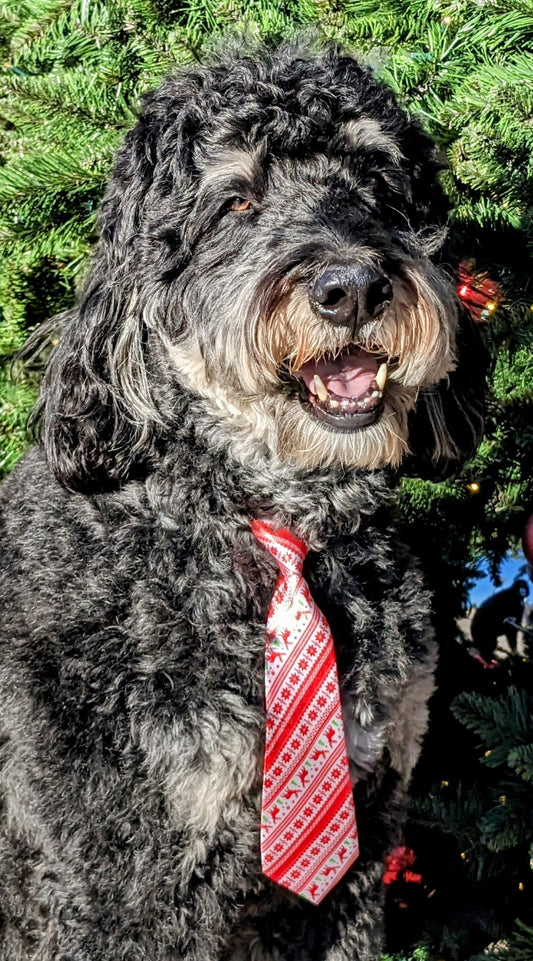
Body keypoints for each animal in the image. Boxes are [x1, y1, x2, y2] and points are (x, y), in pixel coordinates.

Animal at [0, 39, 482, 960]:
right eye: (236, 200)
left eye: (376, 181)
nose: (351, 286)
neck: (268, 526)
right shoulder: (117, 883)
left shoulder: (355, 853)